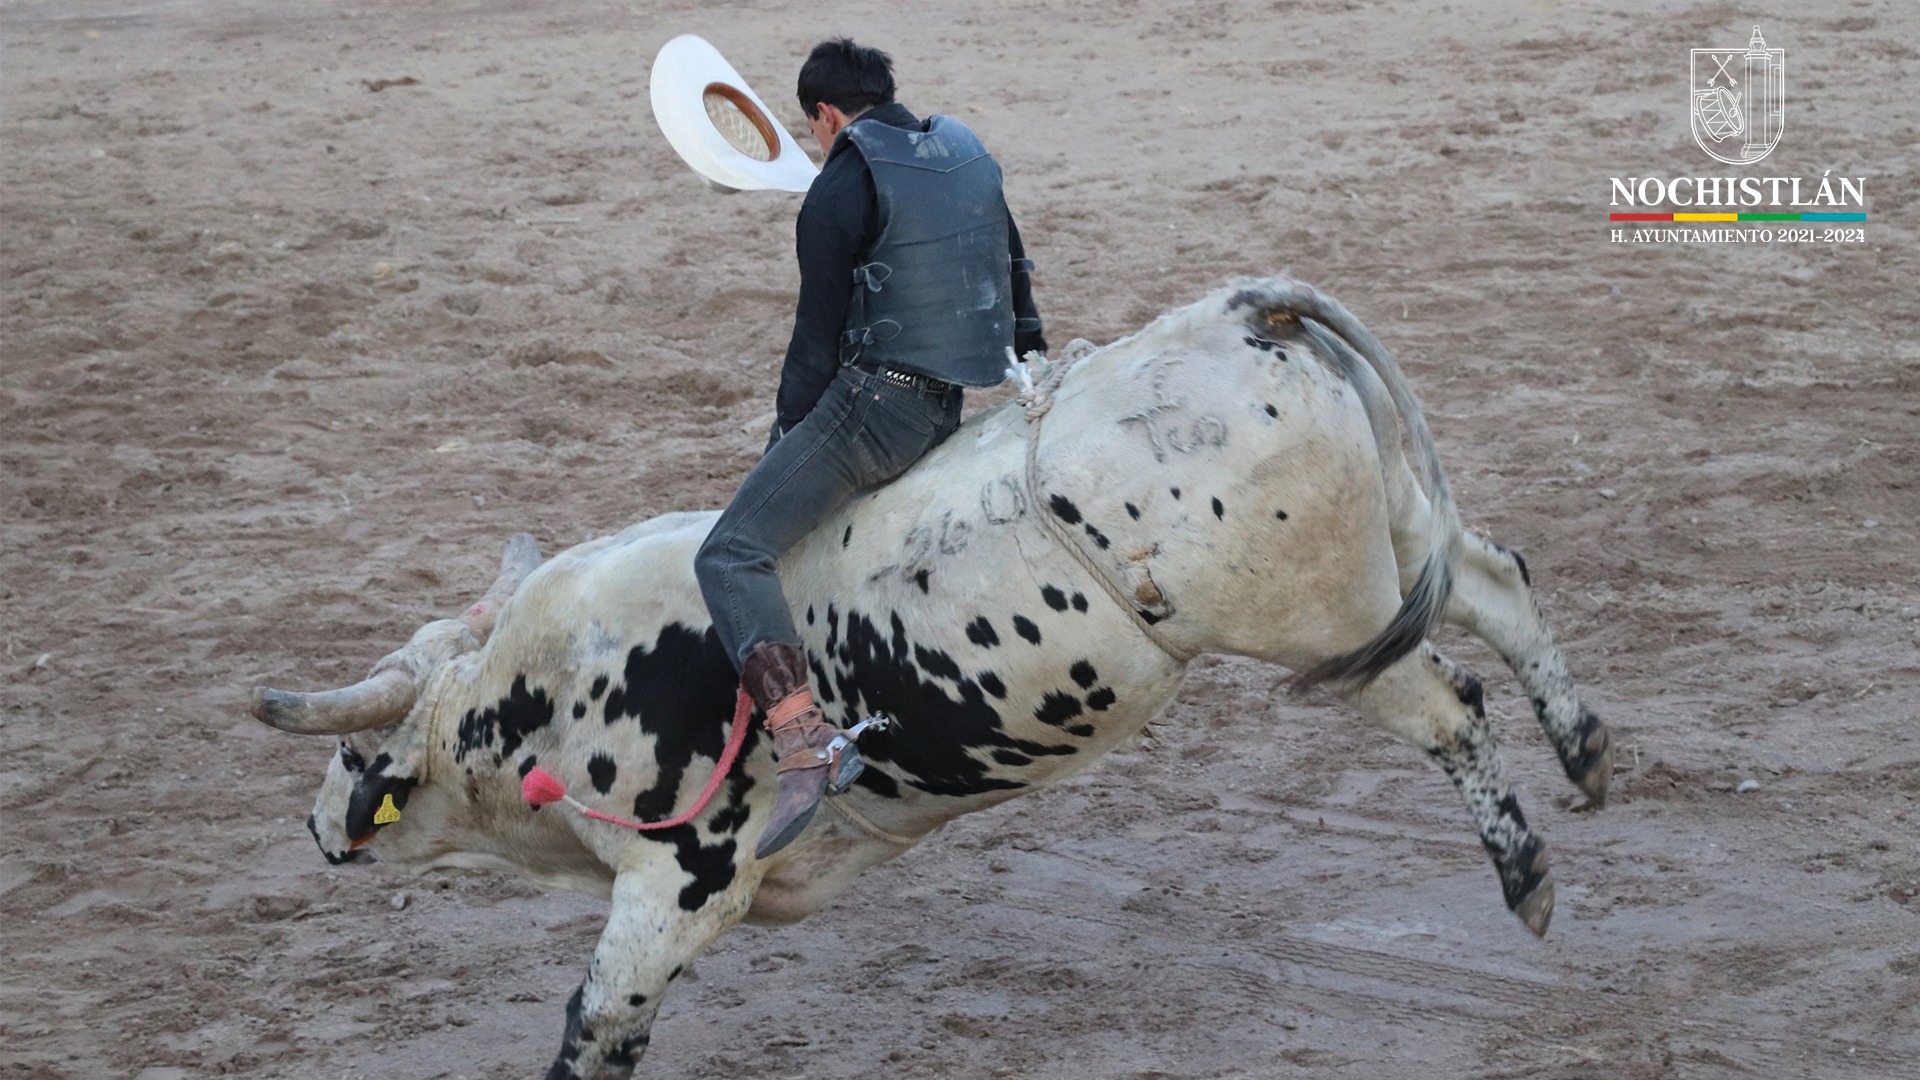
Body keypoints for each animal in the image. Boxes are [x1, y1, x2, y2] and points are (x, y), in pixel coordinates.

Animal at [251, 276, 1605, 1076]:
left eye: (356, 754)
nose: (316, 830)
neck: (538, 691)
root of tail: (1243, 312)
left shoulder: (682, 886)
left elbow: (599, 1025)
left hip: (1324, 623)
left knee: (1450, 708)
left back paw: (1529, 877)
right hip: (1400, 550)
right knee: (1500, 581)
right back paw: (1588, 751)